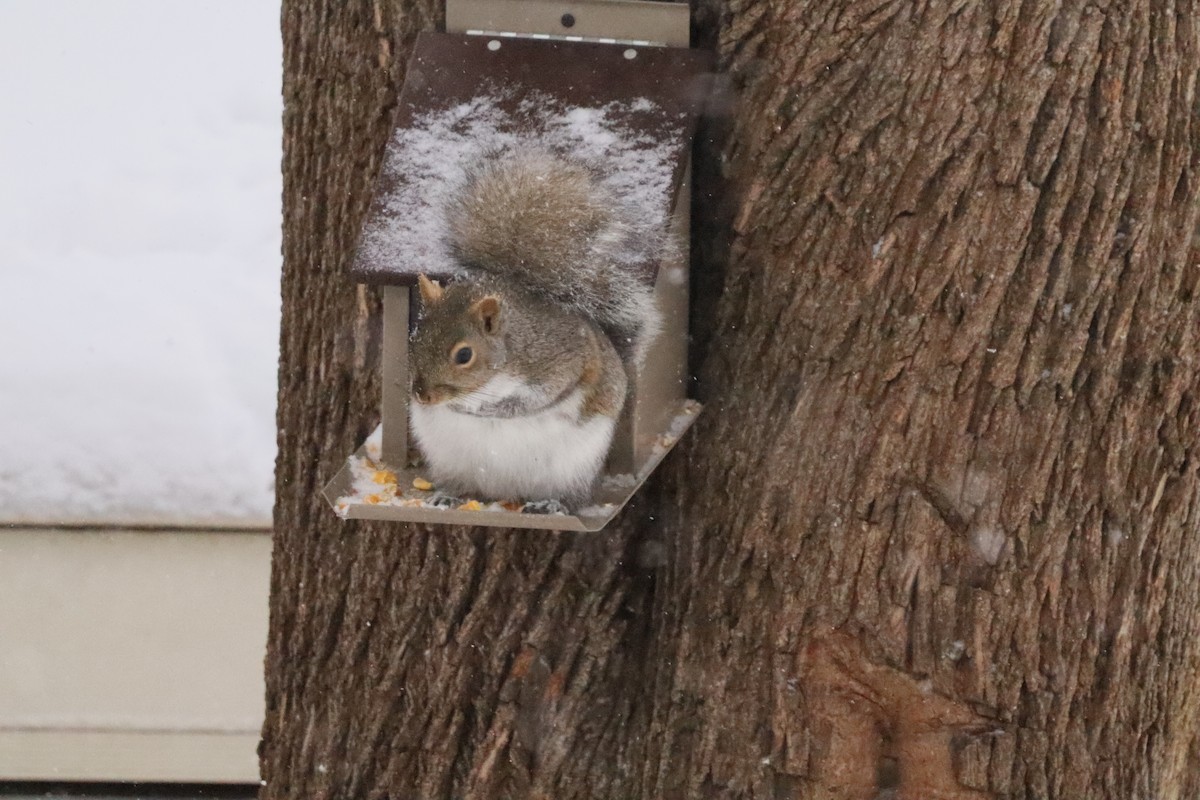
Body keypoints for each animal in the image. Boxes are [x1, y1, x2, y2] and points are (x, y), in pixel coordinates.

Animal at [408, 150, 665, 507]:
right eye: (414, 339)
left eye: (464, 355)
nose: (422, 395)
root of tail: (503, 493)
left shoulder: (558, 358)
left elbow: (542, 395)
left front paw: (494, 409)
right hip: (447, 458)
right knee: (459, 483)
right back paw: (448, 496)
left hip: (574, 465)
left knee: (571, 496)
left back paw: (551, 503)